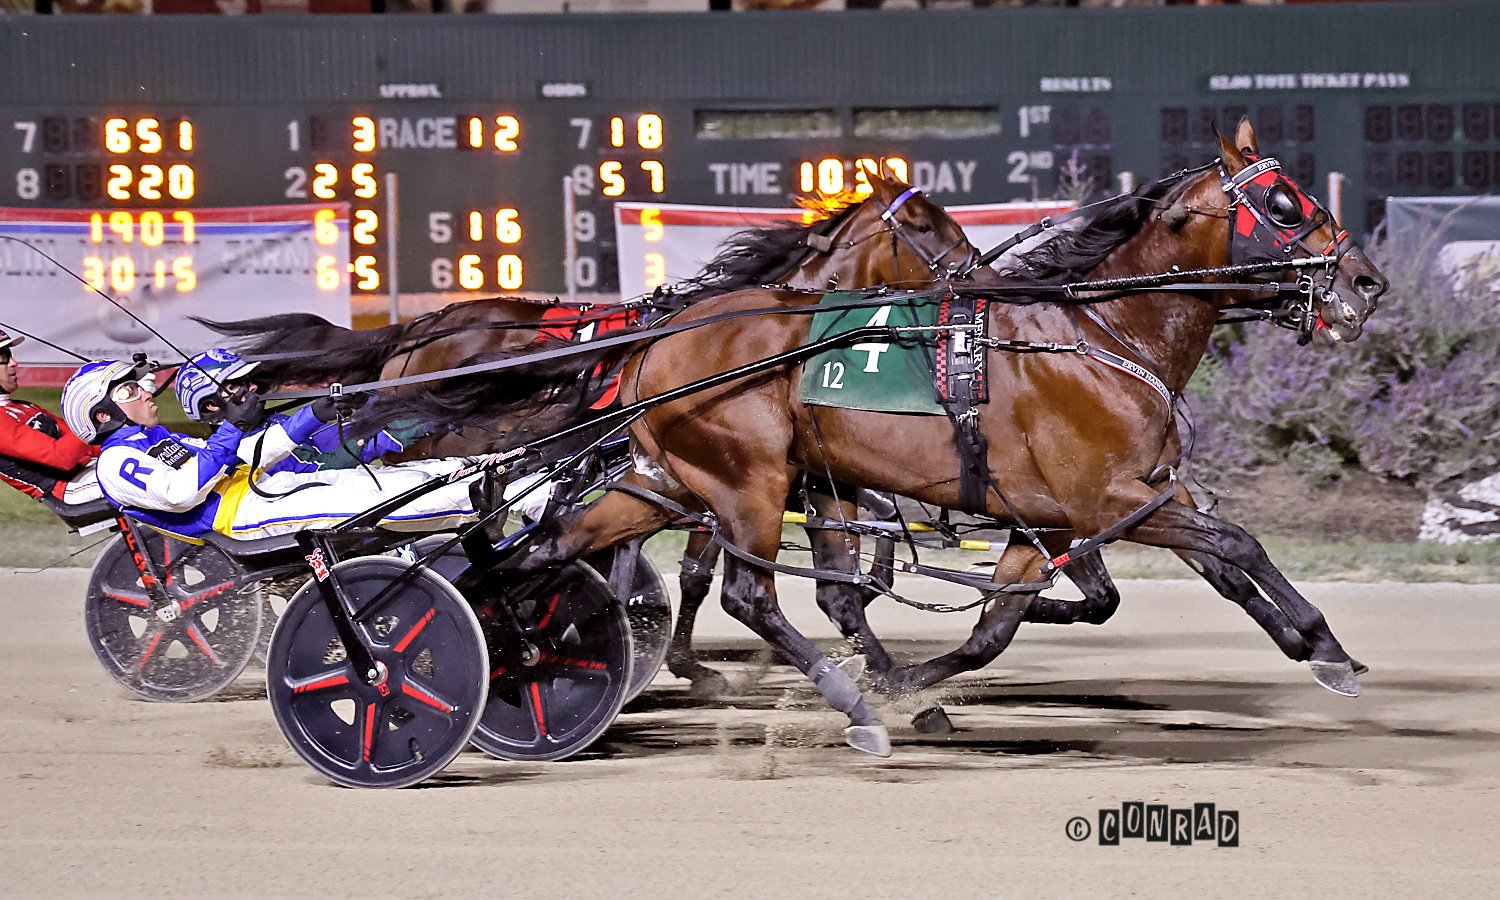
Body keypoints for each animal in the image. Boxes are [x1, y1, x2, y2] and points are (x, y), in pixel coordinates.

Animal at [368, 119, 1388, 755]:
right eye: (1286, 204)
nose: (1366, 280)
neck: (1103, 331)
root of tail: (659, 341)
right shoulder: (1109, 499)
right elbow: (1236, 542)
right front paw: (1324, 646)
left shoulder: (1073, 515)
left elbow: (1002, 624)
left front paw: (922, 684)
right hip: (746, 481)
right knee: (745, 594)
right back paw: (850, 705)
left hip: (668, 480)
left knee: (542, 551)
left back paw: (510, 649)